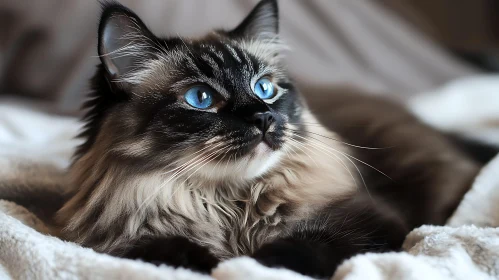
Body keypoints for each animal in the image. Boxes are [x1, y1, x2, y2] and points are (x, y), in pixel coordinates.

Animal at [19, 0, 488, 278]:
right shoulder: (119, 242)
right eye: (201, 98)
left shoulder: (370, 222)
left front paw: (249, 264)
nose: (264, 117)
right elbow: (166, 250)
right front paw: (208, 264)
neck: (231, 207)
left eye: (264, 89)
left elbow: (299, 249)